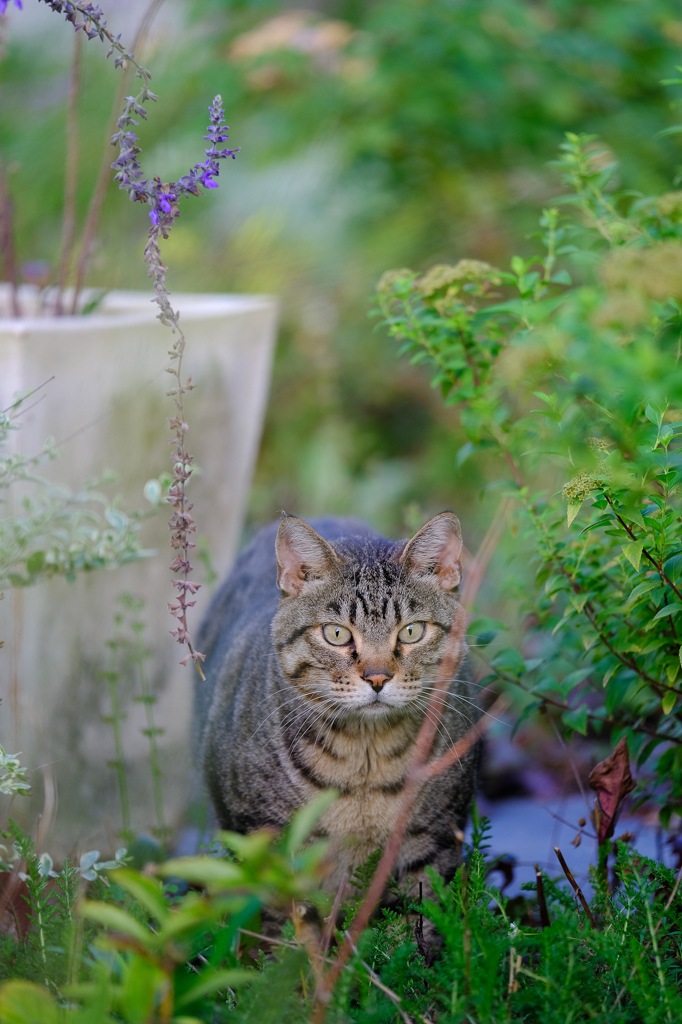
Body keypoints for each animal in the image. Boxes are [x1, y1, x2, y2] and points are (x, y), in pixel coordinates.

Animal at [191, 516, 477, 892]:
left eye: (411, 632)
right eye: (337, 634)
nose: (377, 678)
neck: (365, 767)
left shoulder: (434, 842)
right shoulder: (263, 846)